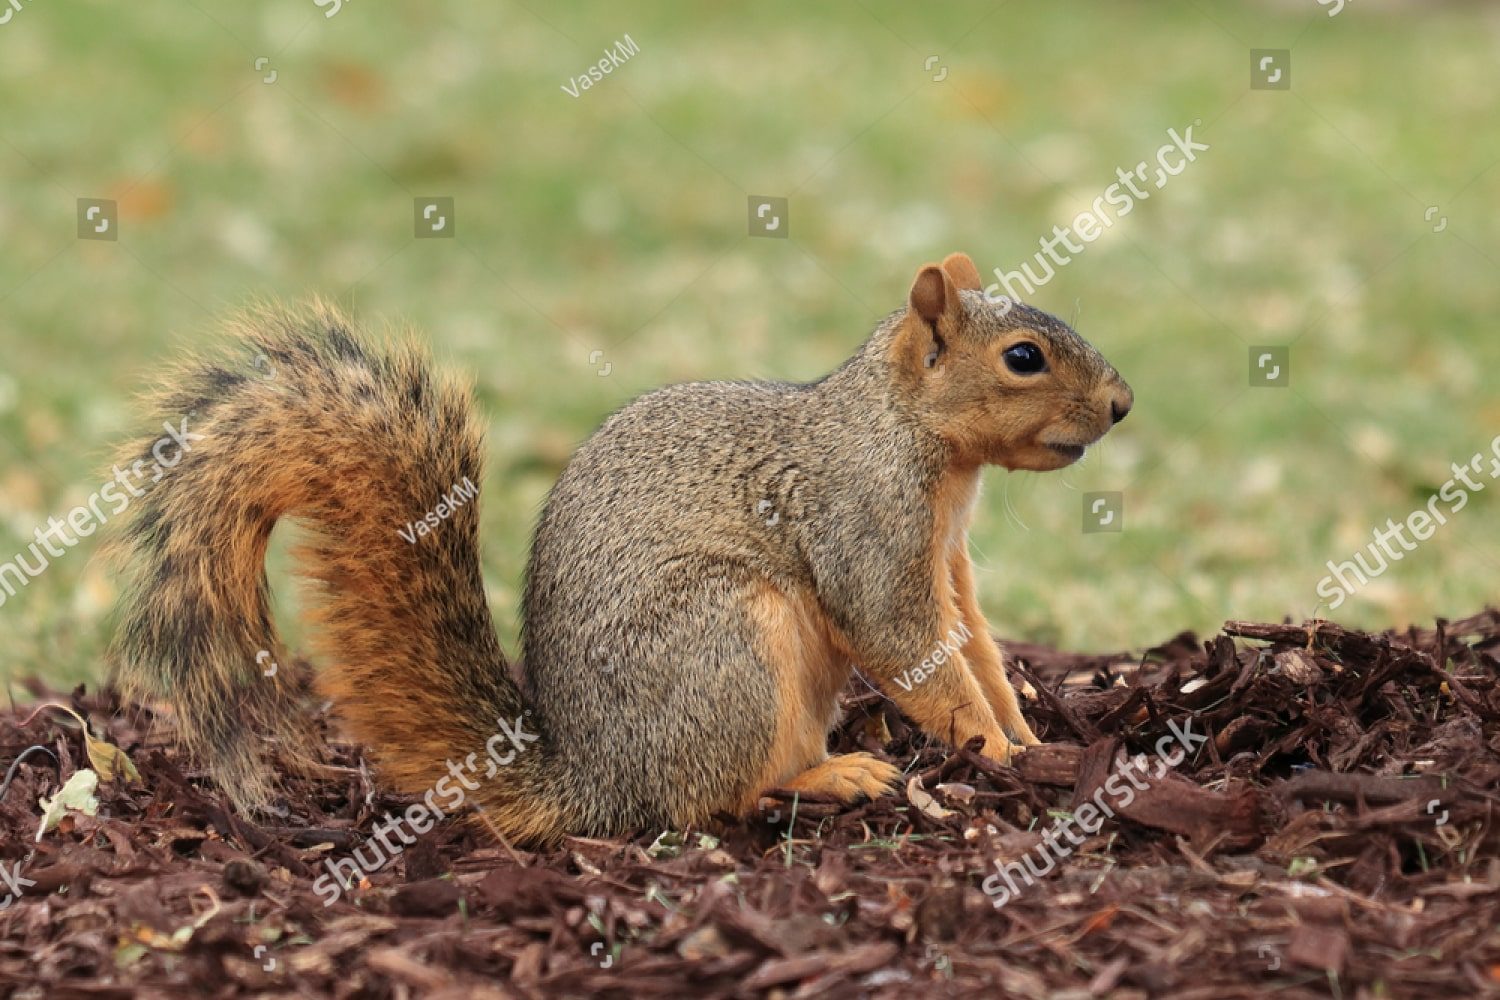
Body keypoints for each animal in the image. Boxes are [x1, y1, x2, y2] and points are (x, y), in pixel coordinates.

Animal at [107, 252, 1132, 847]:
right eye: (1024, 358)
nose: (1123, 405)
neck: (912, 435)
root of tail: (594, 783)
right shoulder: (867, 530)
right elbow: (911, 648)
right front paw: (993, 752)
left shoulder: (946, 565)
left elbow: (979, 651)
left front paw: (1028, 737)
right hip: (726, 639)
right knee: (712, 801)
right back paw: (832, 777)